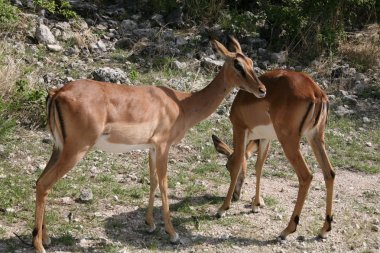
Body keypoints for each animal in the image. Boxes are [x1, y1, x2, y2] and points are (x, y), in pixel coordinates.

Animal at [31, 36, 268, 253]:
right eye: (237, 64)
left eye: (250, 61)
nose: (262, 89)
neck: (182, 105)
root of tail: (56, 93)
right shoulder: (163, 145)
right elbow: (163, 183)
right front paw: (172, 234)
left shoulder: (152, 147)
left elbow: (153, 181)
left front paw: (150, 224)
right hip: (76, 150)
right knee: (45, 184)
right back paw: (40, 245)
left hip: (59, 148)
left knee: (39, 181)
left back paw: (46, 238)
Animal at [212, 70, 334, 240]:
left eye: (226, 166)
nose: (237, 196)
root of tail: (316, 92)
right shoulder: (265, 138)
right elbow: (259, 167)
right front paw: (256, 205)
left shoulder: (239, 128)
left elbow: (238, 164)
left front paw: (222, 209)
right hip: (315, 137)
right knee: (329, 173)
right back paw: (324, 229)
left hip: (289, 141)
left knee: (306, 176)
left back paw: (287, 230)